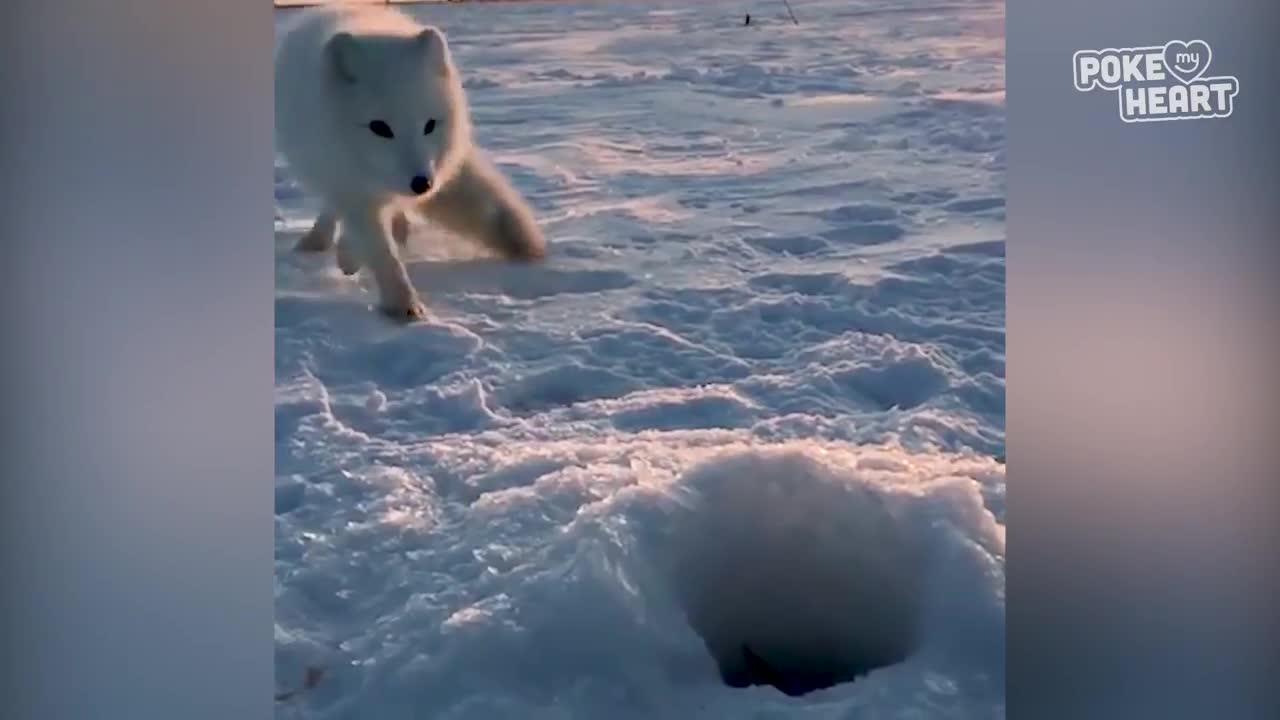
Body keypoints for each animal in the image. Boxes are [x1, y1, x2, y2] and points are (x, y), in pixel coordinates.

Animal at [275, 2, 545, 316]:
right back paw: (321, 241)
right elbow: (379, 248)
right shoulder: (348, 182)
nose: (422, 184)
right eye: (380, 127)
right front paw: (402, 304)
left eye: (429, 125)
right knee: (333, 208)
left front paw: (355, 257)